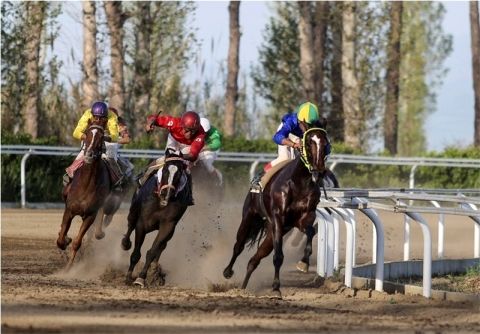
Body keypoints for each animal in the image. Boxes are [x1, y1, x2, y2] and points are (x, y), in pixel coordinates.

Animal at [56, 120, 111, 268]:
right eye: (86, 133)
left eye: (102, 137)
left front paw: (69, 267)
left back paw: (99, 233)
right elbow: (61, 238)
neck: (86, 185)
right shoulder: (69, 210)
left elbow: (77, 242)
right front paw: (65, 240)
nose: (89, 155)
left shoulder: (90, 215)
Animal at [121, 149, 190, 288]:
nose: (167, 193)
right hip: (134, 210)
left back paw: (155, 270)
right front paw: (128, 277)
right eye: (165, 170)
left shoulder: (168, 226)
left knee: (162, 245)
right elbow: (136, 253)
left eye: (179, 173)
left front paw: (141, 278)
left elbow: (152, 251)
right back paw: (125, 243)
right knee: (130, 224)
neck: (161, 202)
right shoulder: (142, 223)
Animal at [224, 127, 330, 298]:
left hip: (272, 233)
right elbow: (278, 256)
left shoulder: (303, 218)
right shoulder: (278, 219)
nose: (319, 170)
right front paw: (275, 288)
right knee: (238, 246)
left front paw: (304, 263)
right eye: (308, 142)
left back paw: (243, 288)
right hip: (249, 217)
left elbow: (311, 231)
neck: (300, 182)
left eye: (326, 143)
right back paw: (228, 272)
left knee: (254, 259)